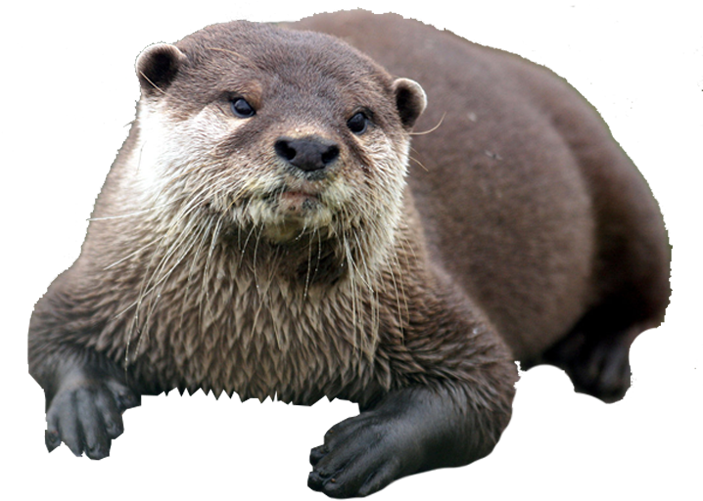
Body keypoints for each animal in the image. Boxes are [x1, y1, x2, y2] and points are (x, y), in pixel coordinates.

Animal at [27, 9, 670, 499]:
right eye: (241, 104)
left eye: (357, 119)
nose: (310, 146)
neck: (251, 349)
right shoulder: (100, 276)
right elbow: (47, 333)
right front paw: (84, 405)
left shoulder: (429, 303)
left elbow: (485, 387)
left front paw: (369, 444)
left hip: (620, 188)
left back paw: (600, 359)